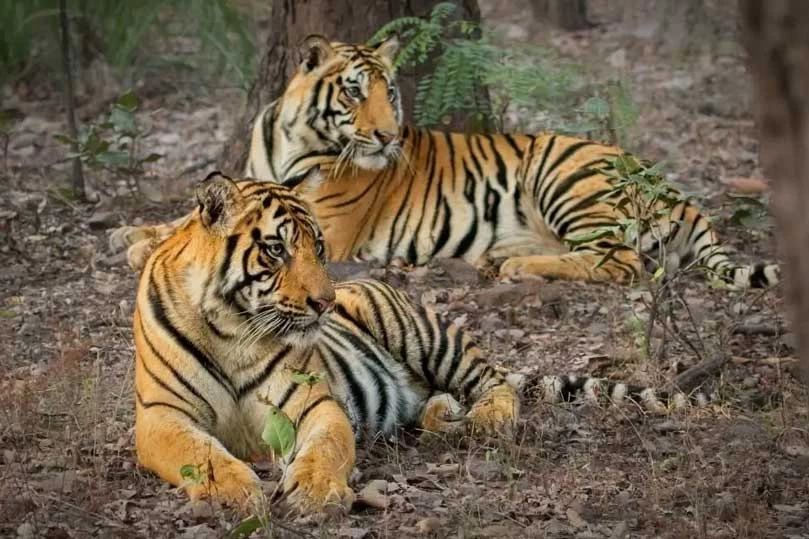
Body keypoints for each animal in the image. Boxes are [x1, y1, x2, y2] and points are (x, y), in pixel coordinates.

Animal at [111, 34, 780, 287]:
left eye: (391, 91)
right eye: (354, 90)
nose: (388, 136)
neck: (291, 142)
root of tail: (676, 190)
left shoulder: (324, 226)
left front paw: (143, 247)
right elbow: (184, 218)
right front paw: (133, 233)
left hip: (563, 169)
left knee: (623, 262)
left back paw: (515, 268)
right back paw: (504, 258)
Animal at [134, 172, 705, 513]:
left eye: (318, 247)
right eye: (276, 250)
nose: (325, 301)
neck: (233, 327)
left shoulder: (313, 403)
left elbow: (328, 444)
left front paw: (315, 491)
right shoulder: (161, 415)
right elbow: (199, 453)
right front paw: (236, 490)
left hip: (419, 332)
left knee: (496, 382)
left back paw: (479, 419)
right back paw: (441, 417)